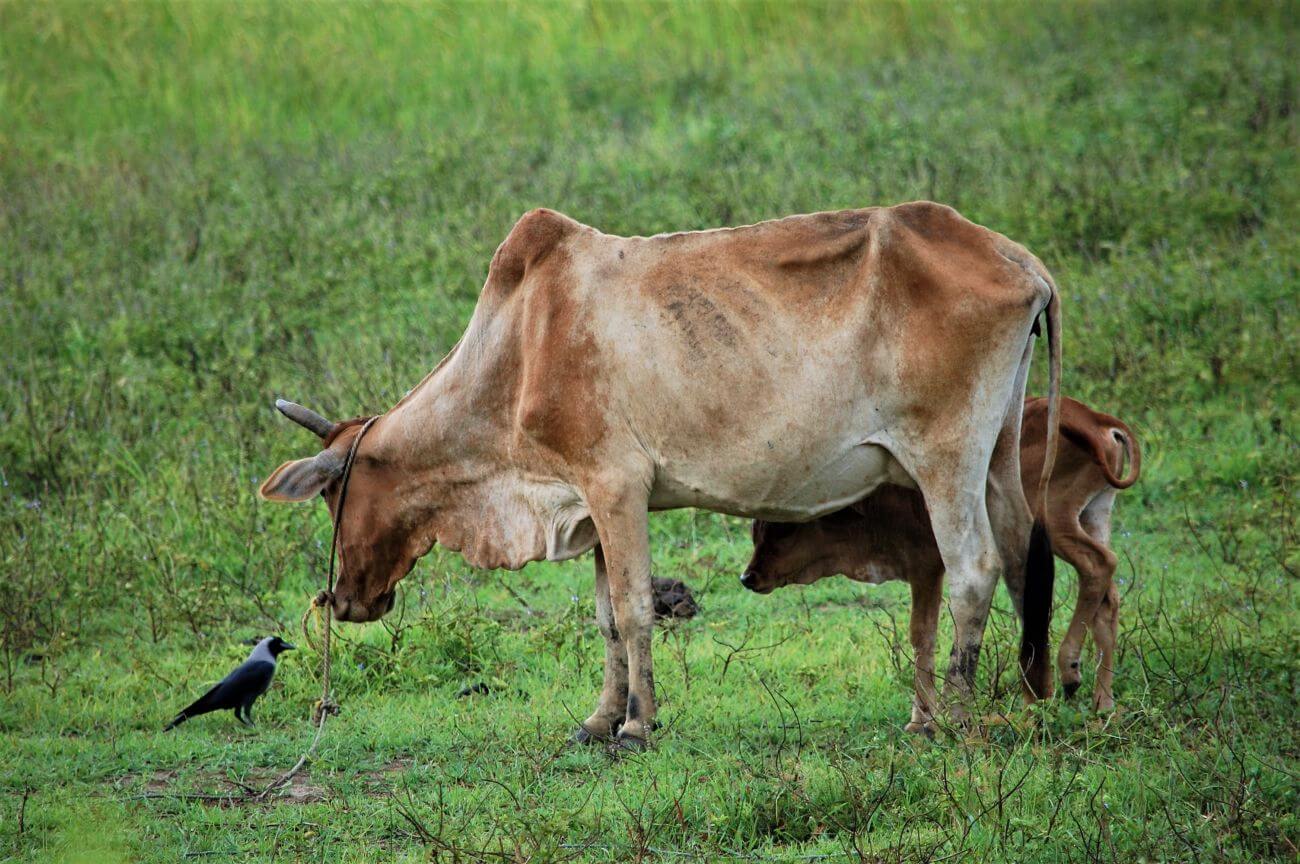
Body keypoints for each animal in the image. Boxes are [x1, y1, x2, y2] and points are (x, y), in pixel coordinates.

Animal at [258, 202, 1060, 748]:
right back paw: (1034, 696)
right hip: (997, 454)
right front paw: (598, 719)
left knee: (975, 569)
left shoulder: (617, 486)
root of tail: (1022, 262)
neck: (517, 348)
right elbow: (606, 615)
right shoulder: (589, 500)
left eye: (335, 494)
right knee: (1026, 554)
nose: (342, 599)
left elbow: (636, 606)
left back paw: (948, 717)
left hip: (945, 459)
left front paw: (638, 727)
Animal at [743, 394, 1138, 722]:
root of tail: (1095, 419)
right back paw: (1103, 703)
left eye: (784, 530)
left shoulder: (926, 568)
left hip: (1054, 521)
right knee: (1107, 599)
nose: (749, 577)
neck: (876, 506)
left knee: (1099, 565)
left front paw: (923, 718)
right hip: (1095, 514)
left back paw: (1069, 669)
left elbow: (922, 635)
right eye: (755, 532)